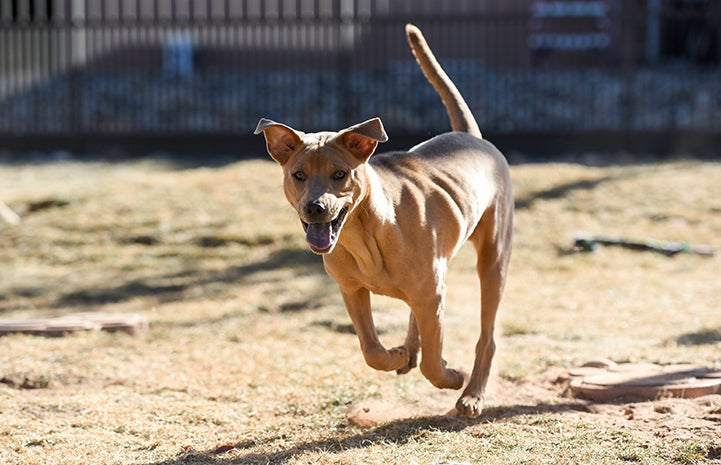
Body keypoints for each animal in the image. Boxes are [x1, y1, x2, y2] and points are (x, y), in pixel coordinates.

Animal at [253, 24, 512, 416]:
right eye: (298, 175)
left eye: (340, 174)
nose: (315, 208)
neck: (367, 234)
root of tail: (472, 138)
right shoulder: (352, 290)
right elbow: (372, 350)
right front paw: (397, 356)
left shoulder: (431, 290)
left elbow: (433, 363)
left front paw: (452, 377)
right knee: (421, 319)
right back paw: (410, 350)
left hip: (493, 261)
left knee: (487, 336)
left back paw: (472, 394)